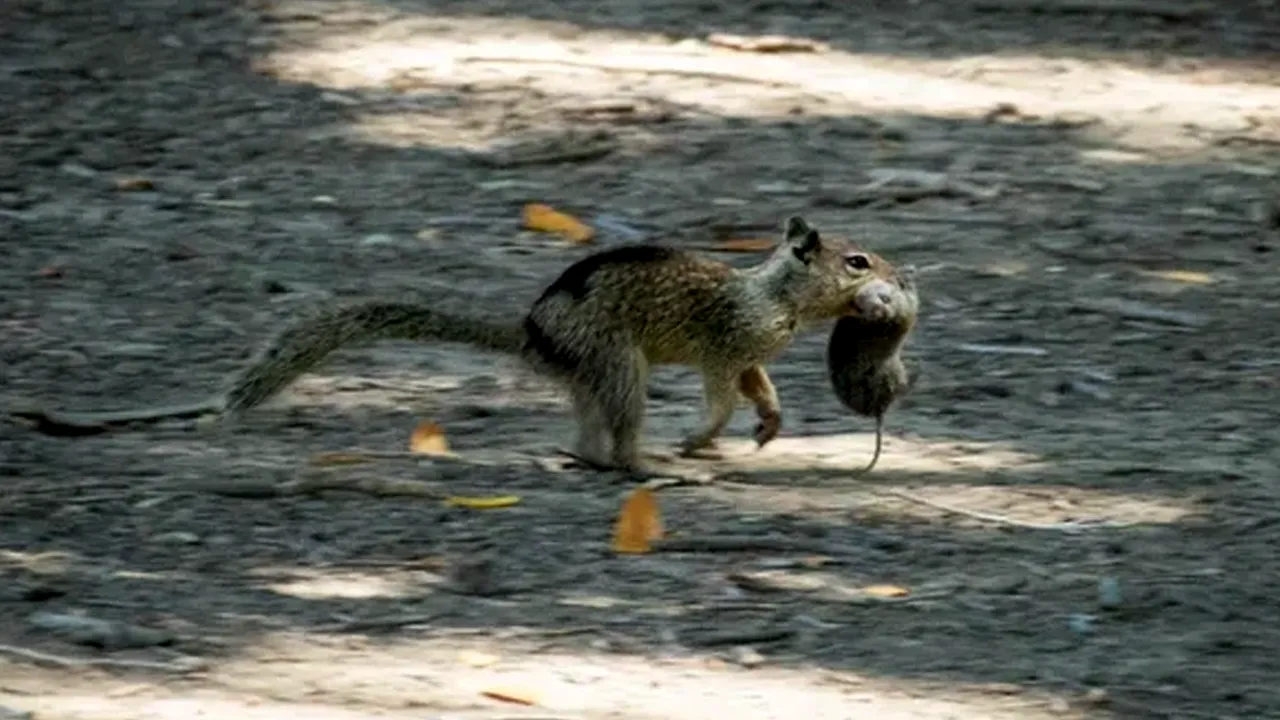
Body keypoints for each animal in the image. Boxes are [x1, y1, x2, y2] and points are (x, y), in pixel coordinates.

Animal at [15, 212, 906, 471]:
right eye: (857, 260)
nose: (897, 275)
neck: (776, 295)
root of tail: (530, 332)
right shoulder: (727, 345)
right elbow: (724, 390)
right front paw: (705, 436)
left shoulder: (753, 353)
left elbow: (761, 386)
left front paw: (769, 425)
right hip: (618, 364)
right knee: (616, 436)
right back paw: (652, 464)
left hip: (594, 374)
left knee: (586, 435)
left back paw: (594, 458)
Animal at [829, 260, 921, 474]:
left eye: (884, 298)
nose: (879, 311)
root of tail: (878, 410)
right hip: (893, 374)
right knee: (903, 388)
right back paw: (917, 373)